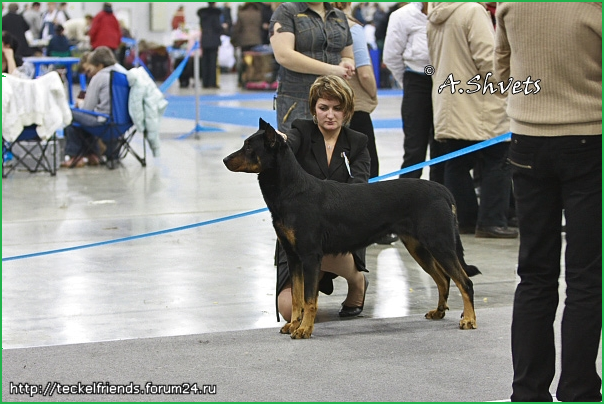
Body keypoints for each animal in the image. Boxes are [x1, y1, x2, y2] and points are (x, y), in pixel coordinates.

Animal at [223, 118, 482, 340]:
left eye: (249, 147)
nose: (225, 160)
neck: (291, 190)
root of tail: (443, 191)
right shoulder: (294, 256)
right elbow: (296, 297)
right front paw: (293, 324)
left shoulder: (309, 256)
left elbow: (308, 298)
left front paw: (304, 329)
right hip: (418, 247)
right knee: (443, 280)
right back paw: (439, 312)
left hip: (439, 243)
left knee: (464, 282)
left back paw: (469, 320)